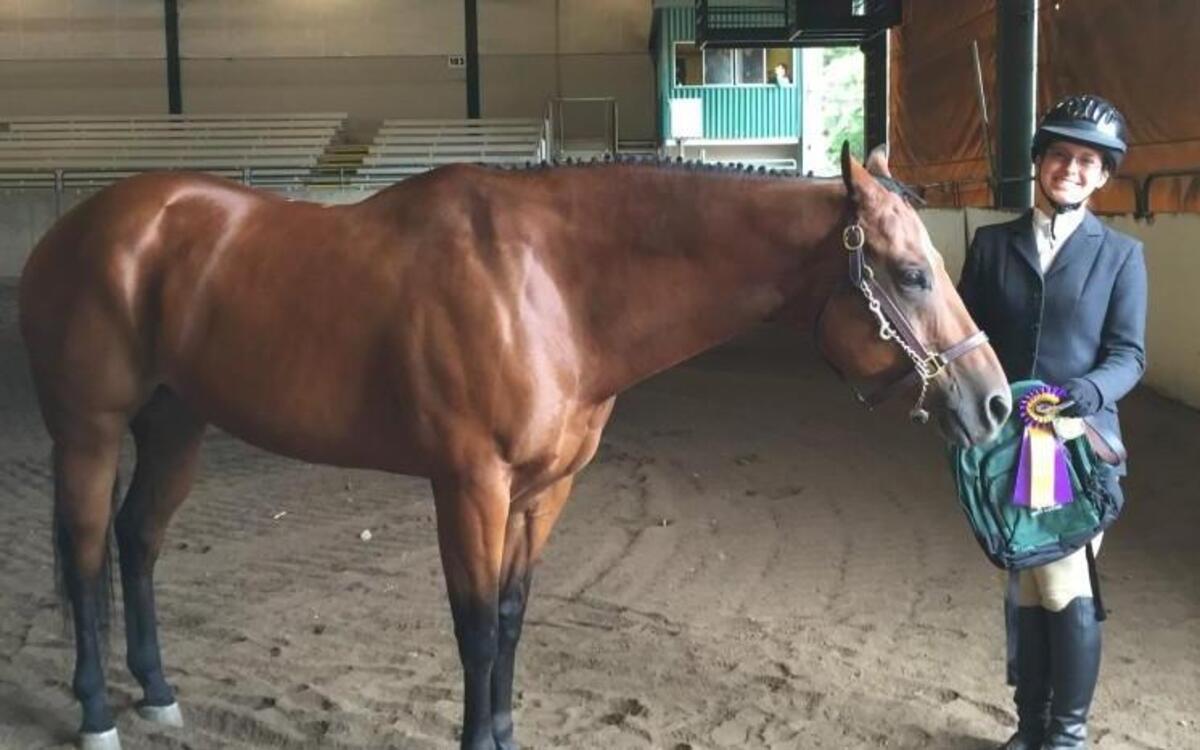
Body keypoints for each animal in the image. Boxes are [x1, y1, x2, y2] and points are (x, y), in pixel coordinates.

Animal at [18, 143, 1010, 750]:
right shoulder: (470, 486)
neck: (548, 287)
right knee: (85, 558)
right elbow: (474, 630)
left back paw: (157, 693)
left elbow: (511, 617)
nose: (996, 404)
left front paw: (501, 732)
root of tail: (81, 227)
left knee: (138, 543)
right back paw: (99, 709)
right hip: (90, 433)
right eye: (912, 273)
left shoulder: (543, 491)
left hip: (176, 424)